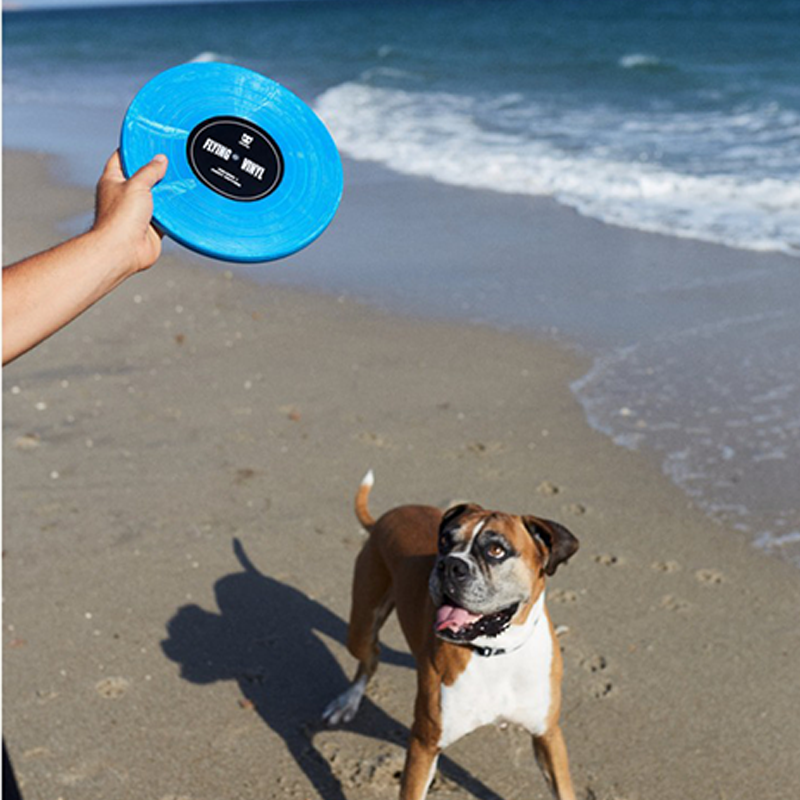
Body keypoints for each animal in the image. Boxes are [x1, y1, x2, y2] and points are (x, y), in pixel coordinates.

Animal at [322, 472, 580, 796]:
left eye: (496, 550)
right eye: (444, 541)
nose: (450, 564)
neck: (495, 652)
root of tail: (386, 516)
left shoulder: (548, 736)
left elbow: (564, 789)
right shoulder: (424, 745)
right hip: (360, 627)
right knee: (371, 656)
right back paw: (348, 701)